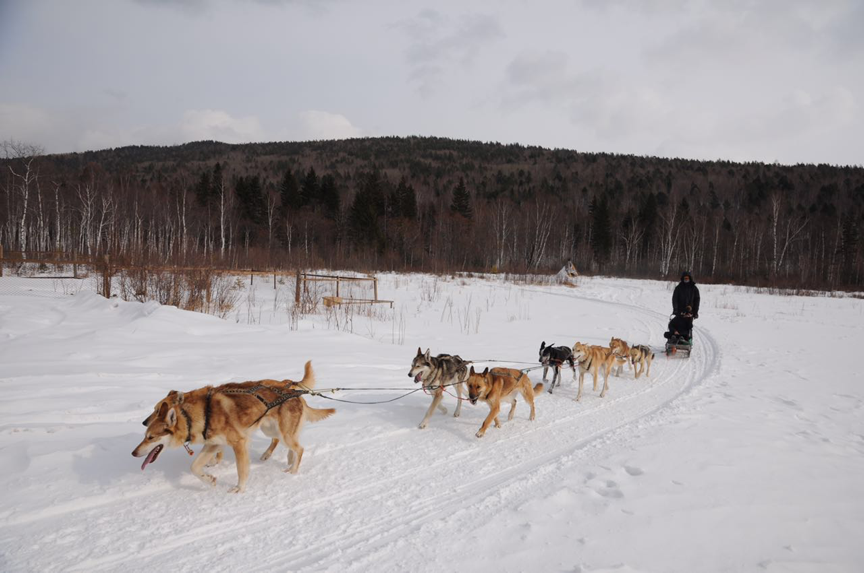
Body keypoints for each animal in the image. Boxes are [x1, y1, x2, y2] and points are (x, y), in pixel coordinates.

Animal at [132, 362, 334, 492]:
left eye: (150, 437)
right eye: (144, 435)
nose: (133, 453)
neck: (198, 414)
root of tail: (293, 391)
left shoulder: (239, 443)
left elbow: (241, 470)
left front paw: (239, 488)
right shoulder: (213, 443)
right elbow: (194, 467)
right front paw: (209, 480)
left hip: (281, 432)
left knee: (299, 448)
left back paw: (292, 470)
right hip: (270, 429)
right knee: (288, 444)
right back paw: (285, 459)